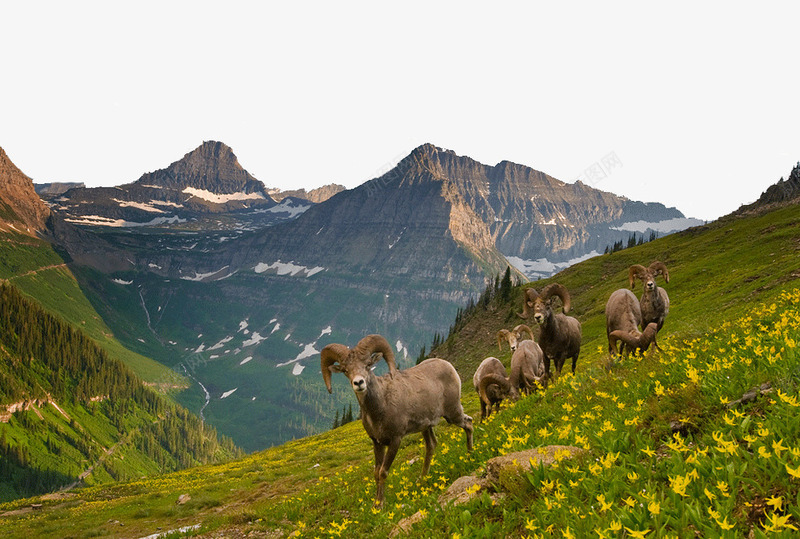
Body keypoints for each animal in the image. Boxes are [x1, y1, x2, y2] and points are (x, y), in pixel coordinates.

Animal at [320, 334, 472, 506]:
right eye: (346, 370)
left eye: (367, 365)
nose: (359, 383)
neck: (380, 408)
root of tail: (449, 366)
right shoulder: (377, 443)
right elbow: (376, 472)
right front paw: (376, 504)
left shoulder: (395, 440)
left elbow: (383, 472)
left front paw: (381, 504)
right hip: (426, 427)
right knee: (431, 446)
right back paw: (422, 479)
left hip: (453, 414)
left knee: (469, 424)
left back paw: (469, 455)